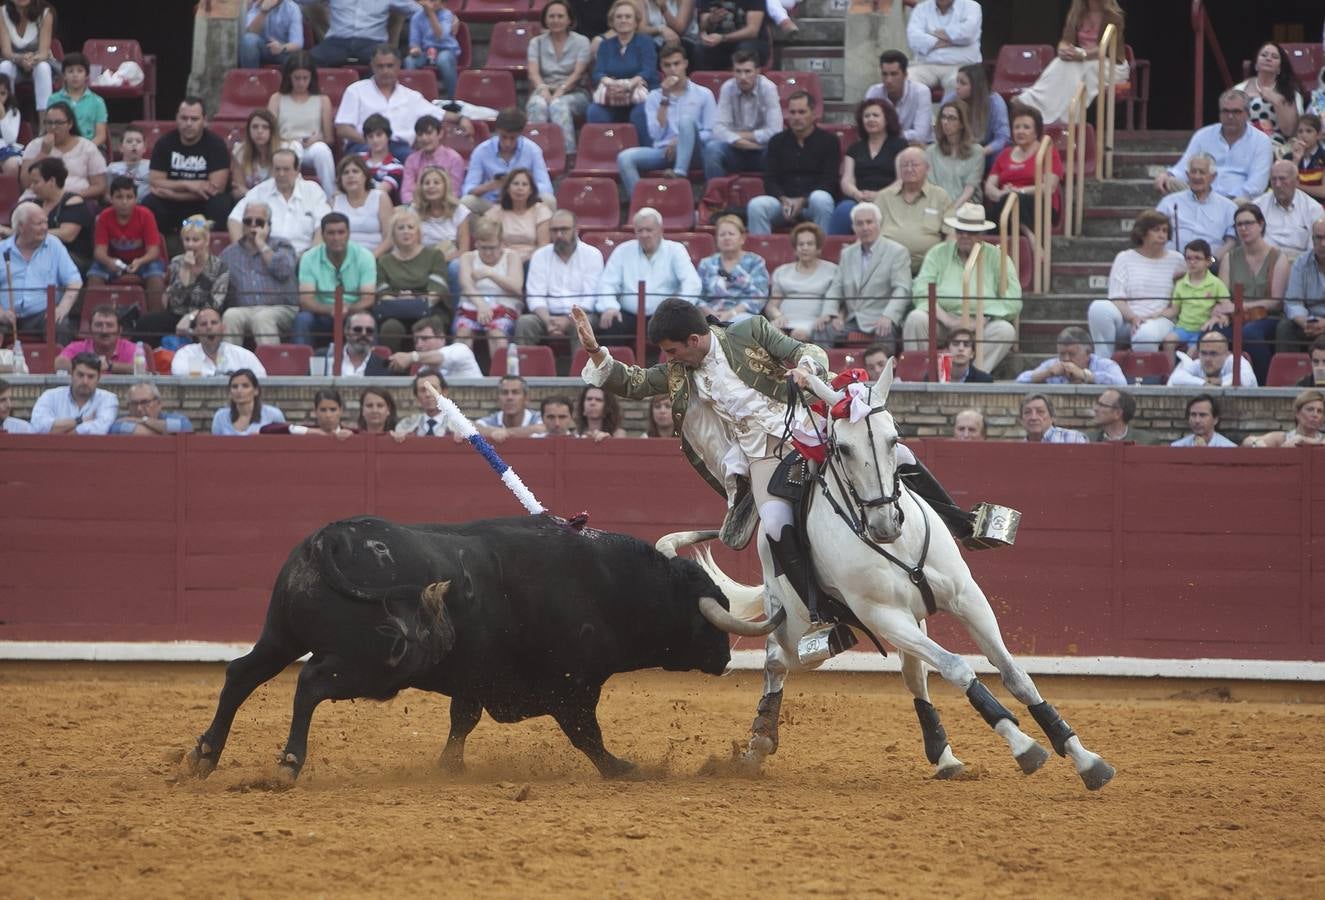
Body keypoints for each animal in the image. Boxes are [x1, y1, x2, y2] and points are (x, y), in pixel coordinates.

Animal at [184, 514, 747, 779]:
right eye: (703, 622)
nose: (725, 658)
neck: (606, 584)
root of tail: (332, 539)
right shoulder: (572, 686)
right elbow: (586, 734)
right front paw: (625, 769)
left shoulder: (476, 678)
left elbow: (463, 721)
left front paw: (448, 768)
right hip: (373, 665)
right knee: (310, 682)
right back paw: (287, 764)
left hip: (281, 635)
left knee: (241, 674)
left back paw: (203, 756)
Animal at [657, 363, 1113, 789]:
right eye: (841, 447)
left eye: (894, 438)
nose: (884, 525)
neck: (898, 545)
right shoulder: (883, 615)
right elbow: (957, 667)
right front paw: (1023, 746)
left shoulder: (967, 599)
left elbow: (1015, 675)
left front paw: (1084, 757)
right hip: (800, 623)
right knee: (775, 661)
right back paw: (758, 744)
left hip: (911, 619)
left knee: (913, 675)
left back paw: (943, 757)